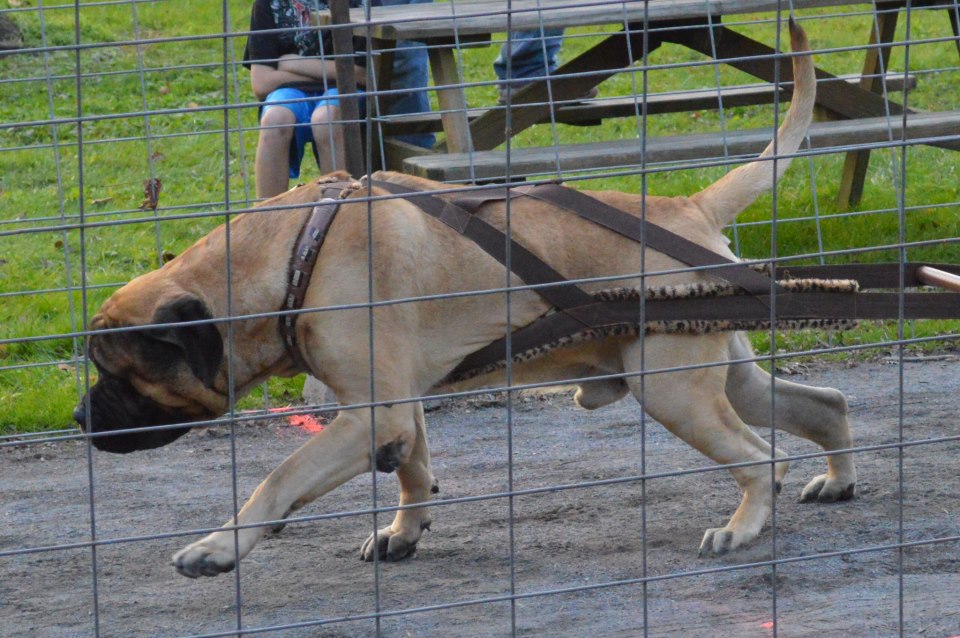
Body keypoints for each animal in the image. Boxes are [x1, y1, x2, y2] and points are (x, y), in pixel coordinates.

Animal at [75, 21, 856, 580]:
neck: (287, 256)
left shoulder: (370, 412)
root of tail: (686, 206)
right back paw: (837, 480)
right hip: (720, 376)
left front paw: (219, 546)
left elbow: (277, 479)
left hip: (670, 388)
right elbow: (413, 473)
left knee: (761, 459)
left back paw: (744, 526)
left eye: (120, 373)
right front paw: (404, 532)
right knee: (822, 404)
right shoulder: (395, 410)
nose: (82, 417)